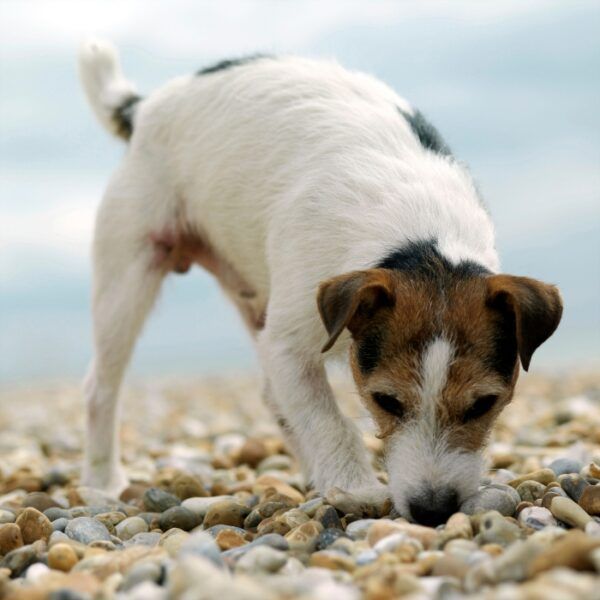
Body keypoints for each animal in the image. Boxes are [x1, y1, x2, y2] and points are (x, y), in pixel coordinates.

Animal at [79, 38, 564, 524]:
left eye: (484, 404)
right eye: (386, 401)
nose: (432, 511)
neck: (420, 241)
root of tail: (143, 107)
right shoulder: (288, 343)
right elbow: (327, 419)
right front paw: (355, 487)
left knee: (274, 396)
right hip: (127, 277)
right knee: (100, 389)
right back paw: (104, 482)